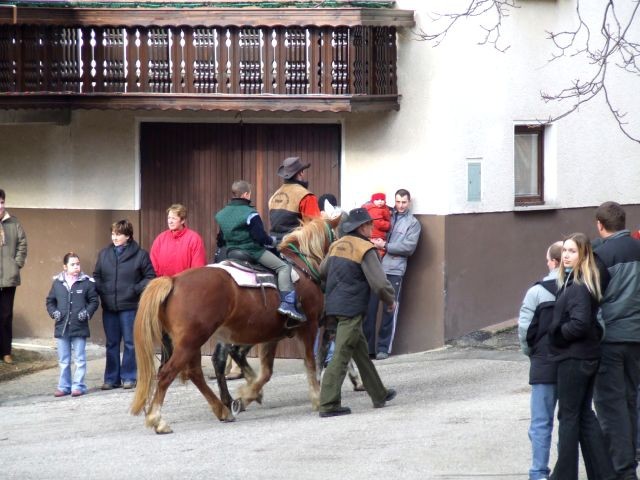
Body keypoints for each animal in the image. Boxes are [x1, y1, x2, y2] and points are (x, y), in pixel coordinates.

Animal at [128, 218, 332, 436]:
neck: (302, 265)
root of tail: (173, 280)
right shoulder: (309, 326)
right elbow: (310, 363)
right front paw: (317, 398)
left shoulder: (272, 334)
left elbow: (266, 372)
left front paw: (248, 395)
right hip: (190, 342)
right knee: (169, 373)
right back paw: (158, 420)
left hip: (190, 342)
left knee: (195, 373)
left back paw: (222, 410)